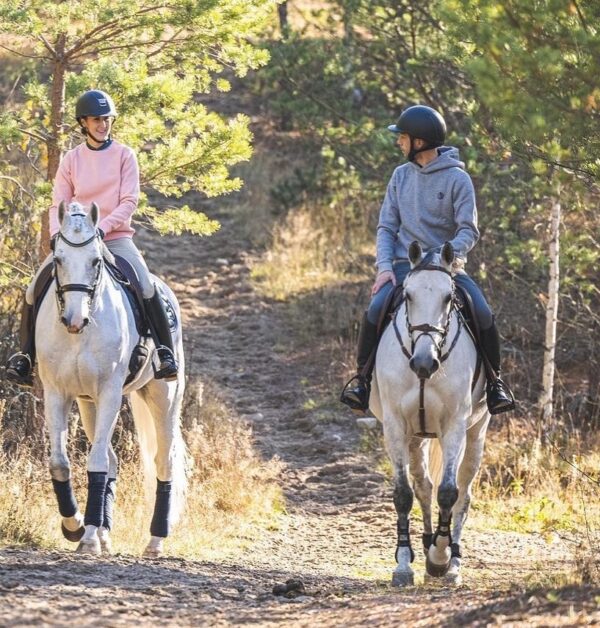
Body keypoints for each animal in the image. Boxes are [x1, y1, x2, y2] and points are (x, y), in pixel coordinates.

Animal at [36, 201, 186, 556]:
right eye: (58, 259)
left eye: (95, 261)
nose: (74, 320)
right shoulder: (56, 393)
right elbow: (60, 463)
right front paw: (75, 526)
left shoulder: (109, 394)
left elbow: (96, 462)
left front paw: (88, 538)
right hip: (87, 403)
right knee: (113, 460)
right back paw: (102, 531)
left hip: (164, 396)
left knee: (164, 461)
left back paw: (155, 541)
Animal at [370, 242, 492, 588]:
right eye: (408, 295)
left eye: (449, 298)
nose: (424, 364)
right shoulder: (395, 426)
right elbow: (403, 493)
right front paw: (403, 566)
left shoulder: (454, 426)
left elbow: (449, 493)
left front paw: (440, 559)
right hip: (416, 437)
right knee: (423, 485)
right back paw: (425, 546)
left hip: (476, 433)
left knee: (464, 494)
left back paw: (452, 563)